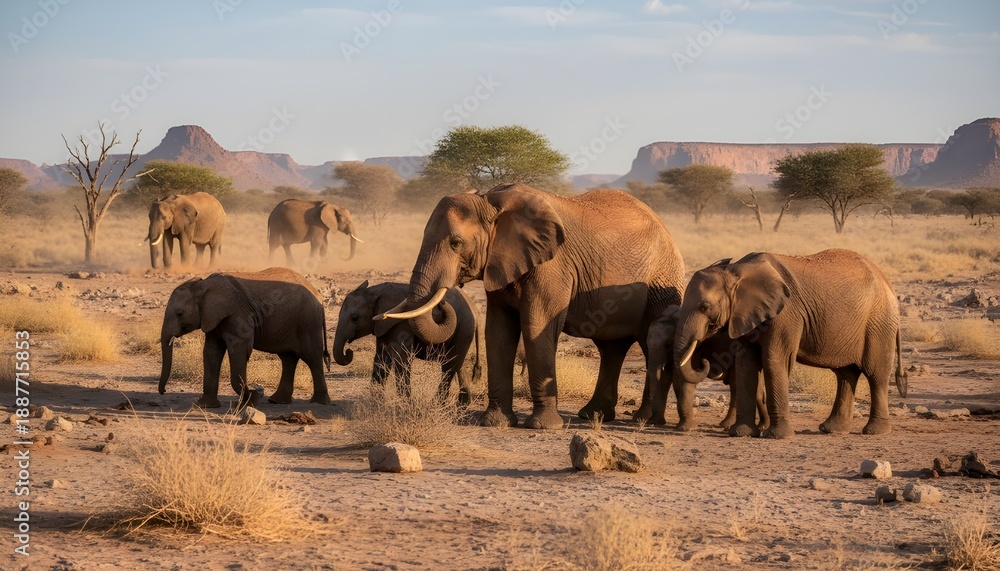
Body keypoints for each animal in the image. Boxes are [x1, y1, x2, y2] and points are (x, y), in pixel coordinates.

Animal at [157, 267, 331, 408]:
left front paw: (251, 400)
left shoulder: (238, 315)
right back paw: (277, 401)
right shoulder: (213, 318)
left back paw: (320, 402)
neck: (204, 285)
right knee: (288, 358)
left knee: (312, 357)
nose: (163, 391)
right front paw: (204, 406)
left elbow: (238, 350)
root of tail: (319, 296)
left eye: (180, 314)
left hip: (307, 321)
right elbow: (211, 352)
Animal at [333, 280, 481, 404]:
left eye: (355, 319)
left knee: (449, 367)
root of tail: (475, 310)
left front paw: (407, 404)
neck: (374, 293)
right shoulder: (382, 327)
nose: (349, 351)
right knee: (458, 364)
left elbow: (402, 360)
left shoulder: (402, 324)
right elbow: (381, 360)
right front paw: (376, 403)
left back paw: (438, 404)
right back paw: (463, 405)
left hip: (464, 328)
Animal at [379, 183, 686, 429]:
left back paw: (643, 419)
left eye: (455, 243)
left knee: (647, 342)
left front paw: (544, 427)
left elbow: (536, 324)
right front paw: (494, 423)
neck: (490, 201)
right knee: (612, 348)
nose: (443, 302)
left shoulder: (552, 266)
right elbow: (498, 330)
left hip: (662, 281)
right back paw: (594, 415)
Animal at [673, 249, 906, 439]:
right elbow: (746, 363)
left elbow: (774, 359)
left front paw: (777, 436)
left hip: (879, 324)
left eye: (704, 307)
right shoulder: (744, 315)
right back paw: (832, 430)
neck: (736, 271)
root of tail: (887, 283)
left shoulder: (787, 314)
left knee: (876, 374)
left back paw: (875, 432)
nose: (703, 362)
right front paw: (741, 433)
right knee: (846, 374)